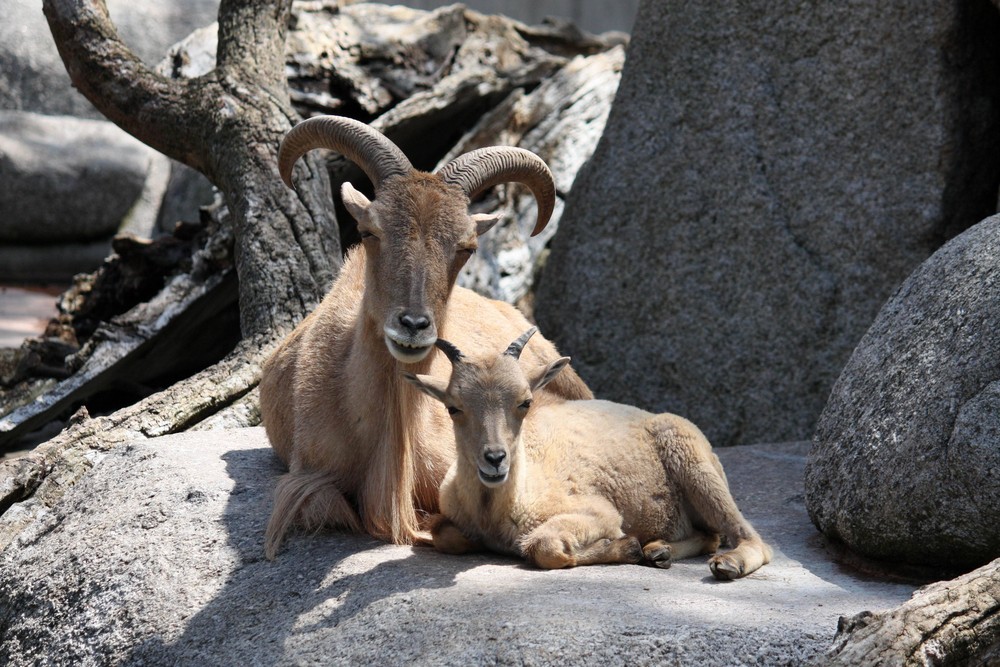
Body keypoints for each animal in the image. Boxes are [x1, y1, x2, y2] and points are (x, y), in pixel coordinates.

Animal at [406, 328, 772, 580]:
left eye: (525, 402)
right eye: (453, 407)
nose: (495, 460)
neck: (495, 509)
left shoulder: (597, 512)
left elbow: (545, 547)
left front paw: (626, 546)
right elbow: (443, 535)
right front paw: (637, 548)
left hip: (694, 465)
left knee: (750, 538)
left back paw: (726, 563)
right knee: (710, 536)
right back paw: (660, 550)